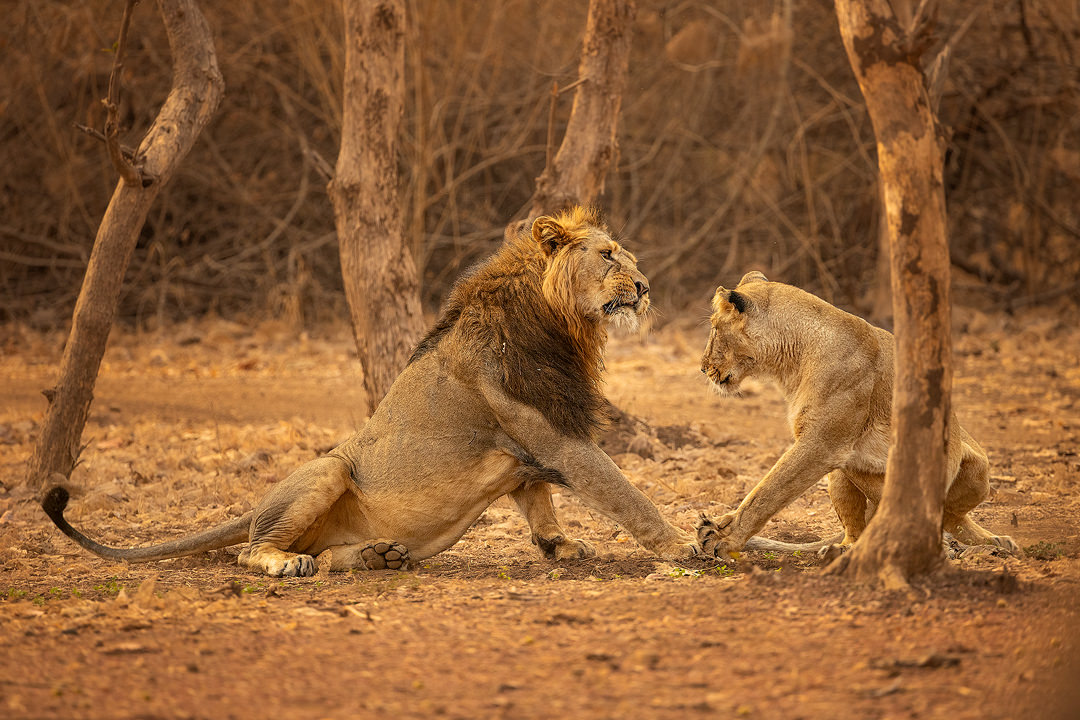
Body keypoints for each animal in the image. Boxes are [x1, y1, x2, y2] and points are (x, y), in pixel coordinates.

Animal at [42, 205, 695, 578]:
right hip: (328, 470)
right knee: (247, 551)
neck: (563, 324)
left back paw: (376, 556)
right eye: (608, 256)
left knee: (331, 556)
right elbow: (628, 495)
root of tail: (256, 508)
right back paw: (288, 563)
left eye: (628, 257)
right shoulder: (554, 435)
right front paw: (685, 544)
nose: (644, 285)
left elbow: (537, 498)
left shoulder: (532, 446)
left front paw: (559, 546)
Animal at [695, 273, 1015, 561]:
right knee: (860, 529)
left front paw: (725, 539)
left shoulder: (821, 445)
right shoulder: (837, 449)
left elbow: (767, 492)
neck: (792, 359)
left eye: (714, 328)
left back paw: (987, 542)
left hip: (980, 472)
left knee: (952, 514)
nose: (702, 367)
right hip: (840, 477)